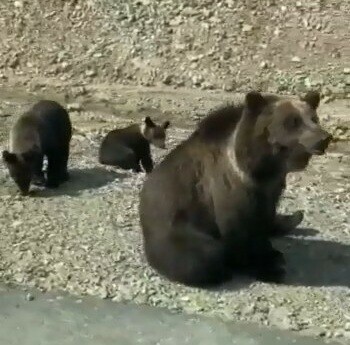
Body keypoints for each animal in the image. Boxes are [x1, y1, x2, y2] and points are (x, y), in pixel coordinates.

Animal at [138, 90, 332, 286]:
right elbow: (237, 230)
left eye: (314, 118)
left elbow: (263, 221)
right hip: (173, 226)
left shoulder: (270, 191)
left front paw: (273, 254)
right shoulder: (227, 186)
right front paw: (265, 267)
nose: (324, 138)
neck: (262, 168)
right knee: (201, 255)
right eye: (292, 121)